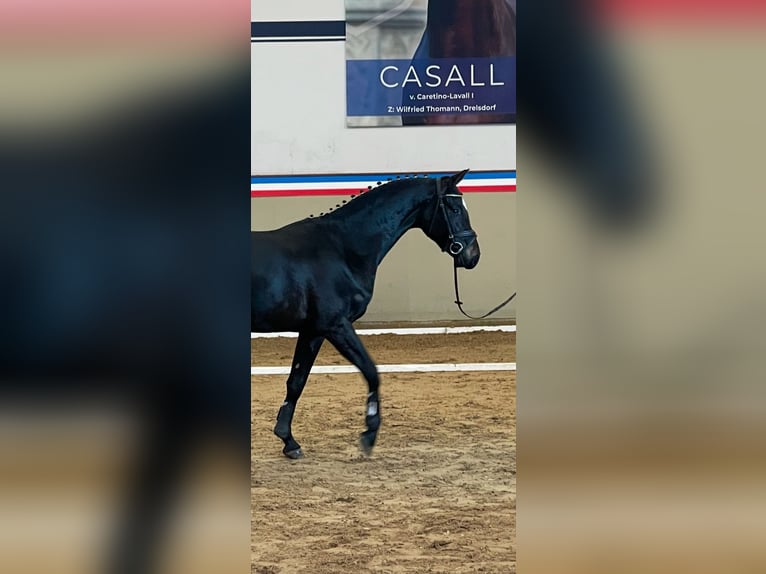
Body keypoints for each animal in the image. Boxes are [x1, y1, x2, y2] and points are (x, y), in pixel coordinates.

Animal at [252, 170, 480, 460]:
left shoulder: (313, 331)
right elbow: (371, 371)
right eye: (454, 208)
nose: (472, 255)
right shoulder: (336, 326)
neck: (342, 249)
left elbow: (296, 381)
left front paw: (288, 441)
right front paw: (369, 432)